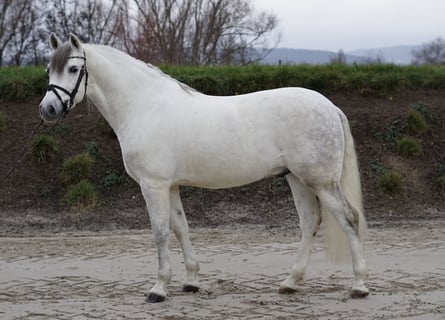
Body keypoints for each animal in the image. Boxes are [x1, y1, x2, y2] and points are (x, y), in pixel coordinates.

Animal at [40, 33, 368, 304]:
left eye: (72, 69)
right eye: (49, 70)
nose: (48, 109)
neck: (144, 107)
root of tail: (330, 107)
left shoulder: (153, 185)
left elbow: (160, 232)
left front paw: (158, 289)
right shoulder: (171, 186)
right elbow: (181, 228)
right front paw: (192, 281)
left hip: (320, 181)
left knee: (349, 218)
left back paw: (358, 286)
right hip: (298, 179)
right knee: (310, 222)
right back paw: (290, 282)